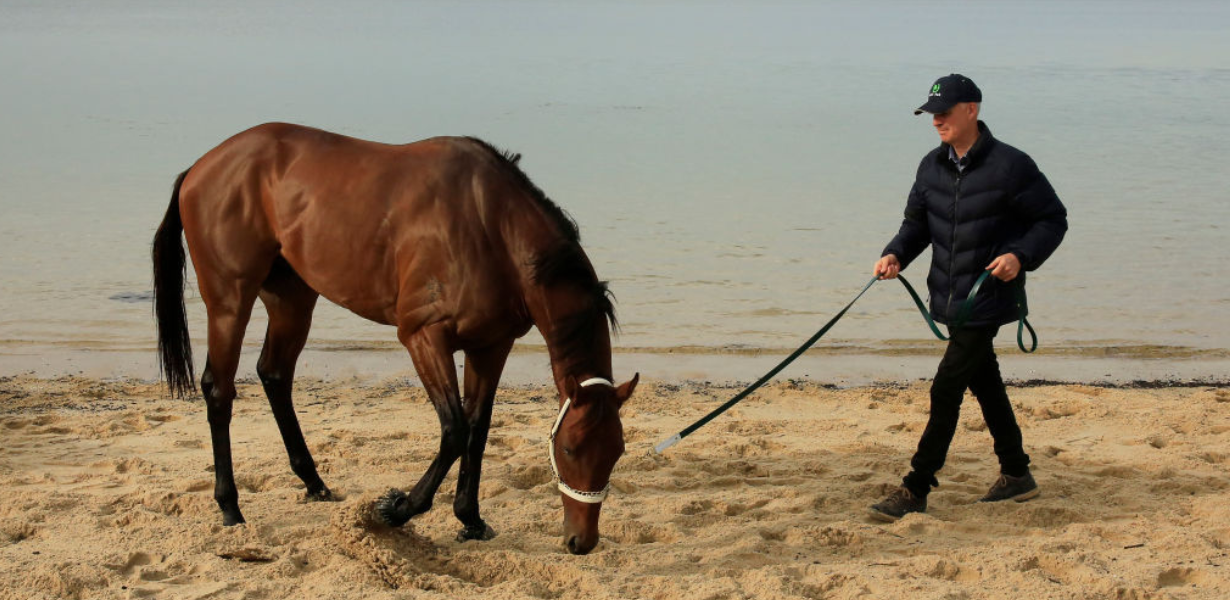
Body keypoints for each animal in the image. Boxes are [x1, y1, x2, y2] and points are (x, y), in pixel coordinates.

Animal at [148, 124, 639, 555]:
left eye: (617, 452)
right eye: (569, 449)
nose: (582, 541)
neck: (489, 225)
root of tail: (202, 166)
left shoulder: (490, 345)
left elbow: (478, 429)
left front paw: (470, 519)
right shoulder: (423, 337)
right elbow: (454, 429)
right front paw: (398, 508)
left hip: (293, 299)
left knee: (274, 374)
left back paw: (314, 483)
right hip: (230, 301)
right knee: (219, 389)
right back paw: (230, 507)